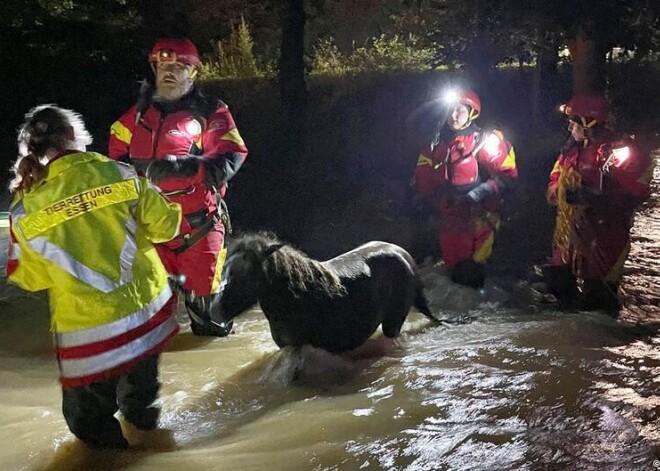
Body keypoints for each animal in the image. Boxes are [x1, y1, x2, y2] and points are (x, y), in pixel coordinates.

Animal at [211, 232, 438, 354]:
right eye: (225, 269)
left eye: (248, 273)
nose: (215, 310)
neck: (296, 297)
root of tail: (403, 254)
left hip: (393, 322)